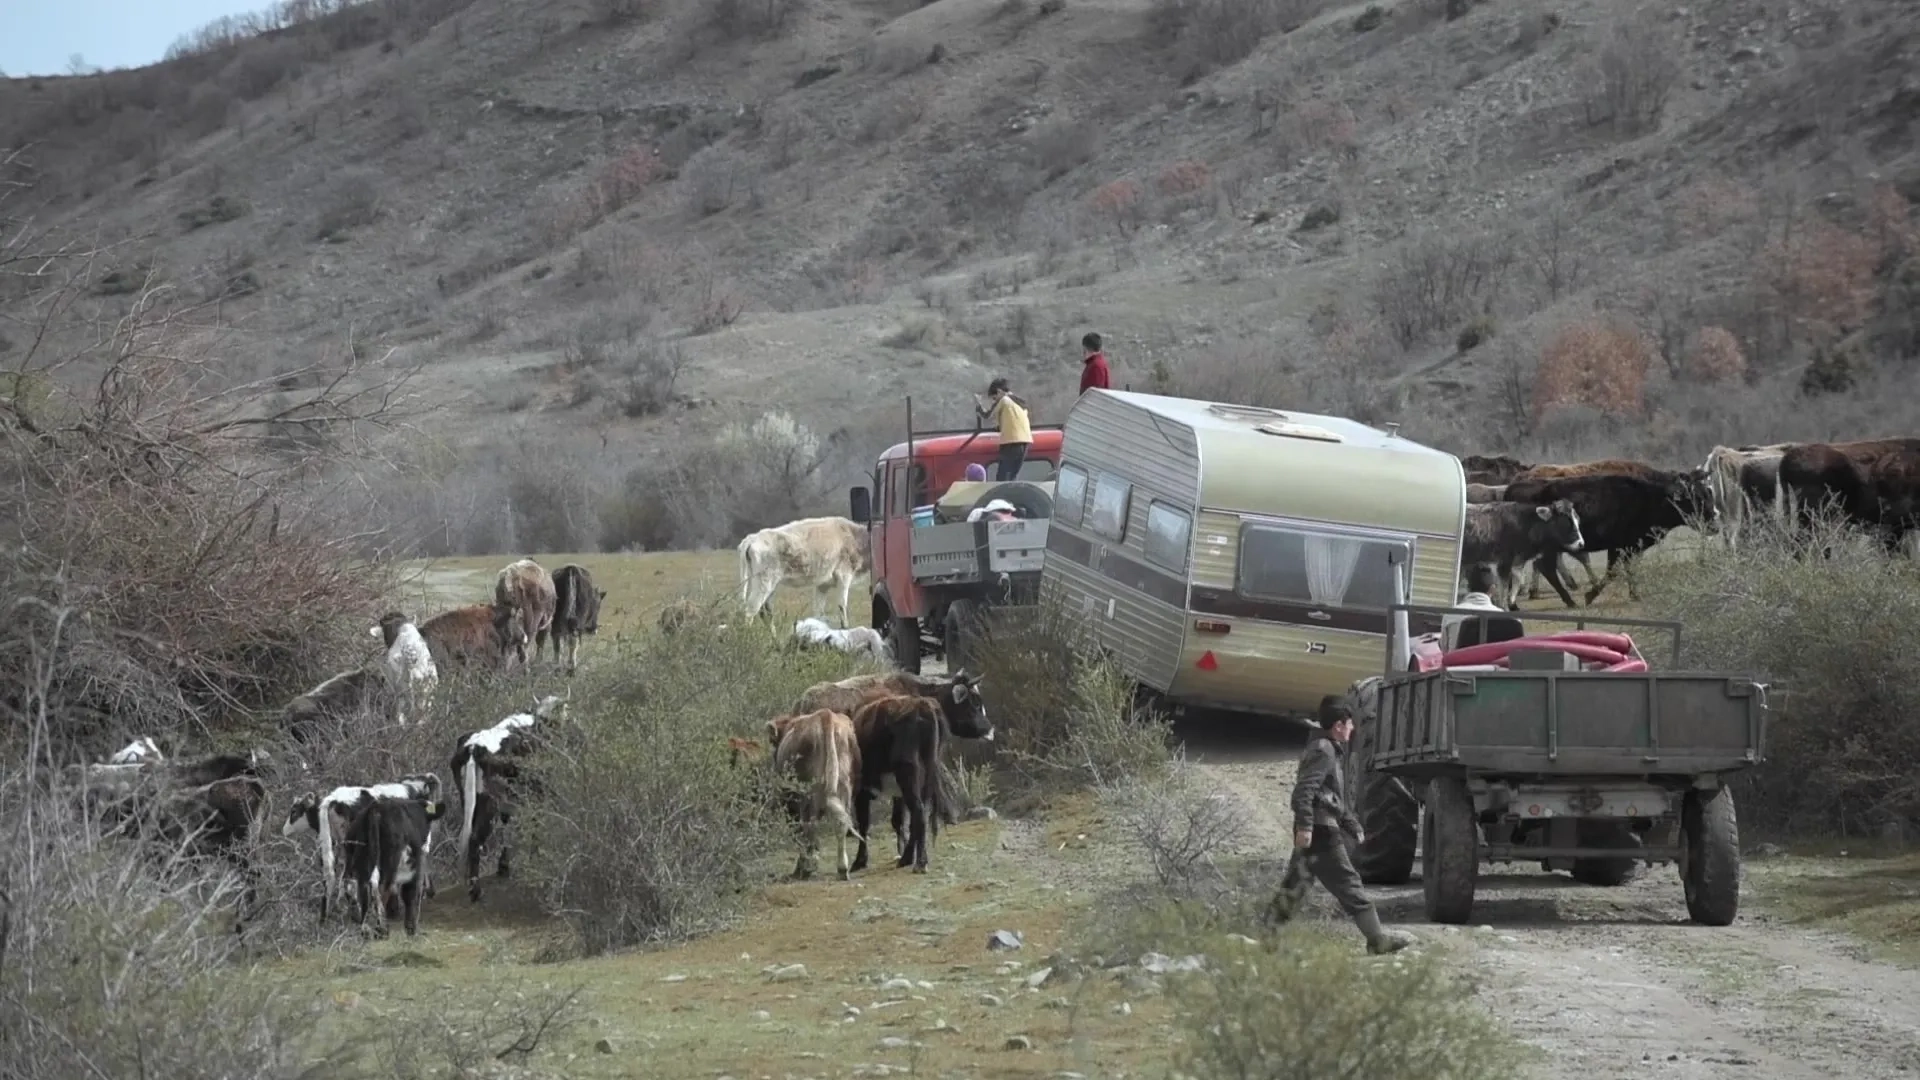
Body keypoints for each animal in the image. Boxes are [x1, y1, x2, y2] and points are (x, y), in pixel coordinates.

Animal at [282, 772, 443, 914]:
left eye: (294, 811)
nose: (284, 831)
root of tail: (334, 799)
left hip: (337, 845)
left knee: (333, 876)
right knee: (347, 877)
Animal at [343, 791, 447, 933]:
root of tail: (375, 809)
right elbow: (409, 892)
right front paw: (411, 927)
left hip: (357, 858)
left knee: (354, 884)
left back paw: (363, 924)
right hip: (390, 861)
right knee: (381, 887)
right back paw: (381, 928)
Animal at [449, 691, 560, 895]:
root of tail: (474, 746)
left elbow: (507, 821)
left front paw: (504, 866)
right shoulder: (537, 788)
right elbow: (535, 817)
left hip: (470, 798)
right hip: (490, 801)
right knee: (475, 838)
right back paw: (475, 890)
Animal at [737, 511, 875, 622]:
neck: (855, 538)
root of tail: (753, 538)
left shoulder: (822, 585)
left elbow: (819, 614)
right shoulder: (844, 577)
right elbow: (843, 612)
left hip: (768, 584)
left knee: (766, 612)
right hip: (763, 582)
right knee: (751, 610)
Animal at [764, 707, 864, 876]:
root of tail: (826, 716)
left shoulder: (791, 802)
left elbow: (798, 830)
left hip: (807, 794)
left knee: (809, 826)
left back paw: (806, 868)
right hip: (844, 787)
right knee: (841, 823)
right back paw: (842, 868)